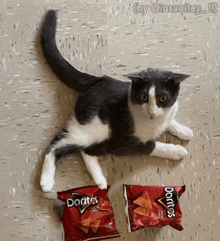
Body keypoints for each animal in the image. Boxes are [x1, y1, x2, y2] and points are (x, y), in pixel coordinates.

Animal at [39, 10, 192, 193]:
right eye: (144, 97)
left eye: (163, 99)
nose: (152, 113)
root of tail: (99, 80)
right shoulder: (125, 143)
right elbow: (151, 146)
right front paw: (175, 150)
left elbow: (169, 120)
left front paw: (183, 130)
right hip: (95, 128)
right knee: (57, 143)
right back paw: (46, 180)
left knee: (86, 150)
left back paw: (99, 179)